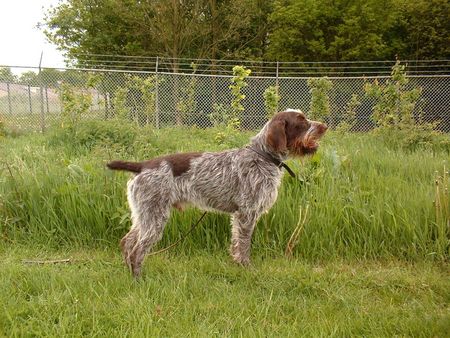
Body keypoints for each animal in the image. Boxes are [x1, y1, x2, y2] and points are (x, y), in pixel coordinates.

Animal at [109, 109, 326, 276]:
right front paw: (247, 268)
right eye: (301, 121)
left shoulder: (239, 216)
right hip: (155, 217)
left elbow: (236, 243)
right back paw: (138, 278)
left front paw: (238, 265)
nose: (324, 126)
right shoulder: (247, 213)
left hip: (144, 214)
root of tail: (143, 166)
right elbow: (244, 245)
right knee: (137, 250)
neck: (263, 156)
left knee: (127, 242)